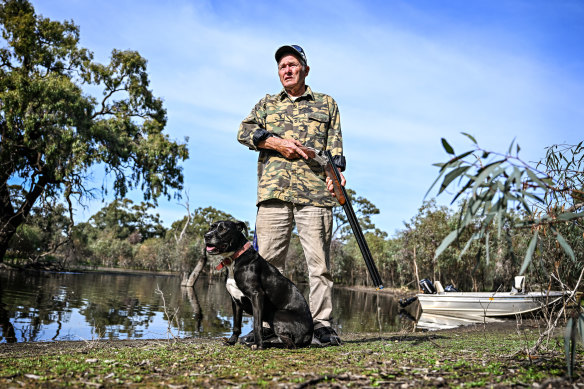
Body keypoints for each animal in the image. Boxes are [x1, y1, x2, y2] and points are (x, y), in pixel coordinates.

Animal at [205, 218, 314, 348]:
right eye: (211, 227)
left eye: (223, 229)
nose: (206, 236)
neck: (234, 259)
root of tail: (309, 336)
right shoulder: (235, 301)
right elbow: (236, 325)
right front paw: (232, 341)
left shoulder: (256, 295)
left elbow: (257, 324)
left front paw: (258, 345)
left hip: (276, 314)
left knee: (290, 344)